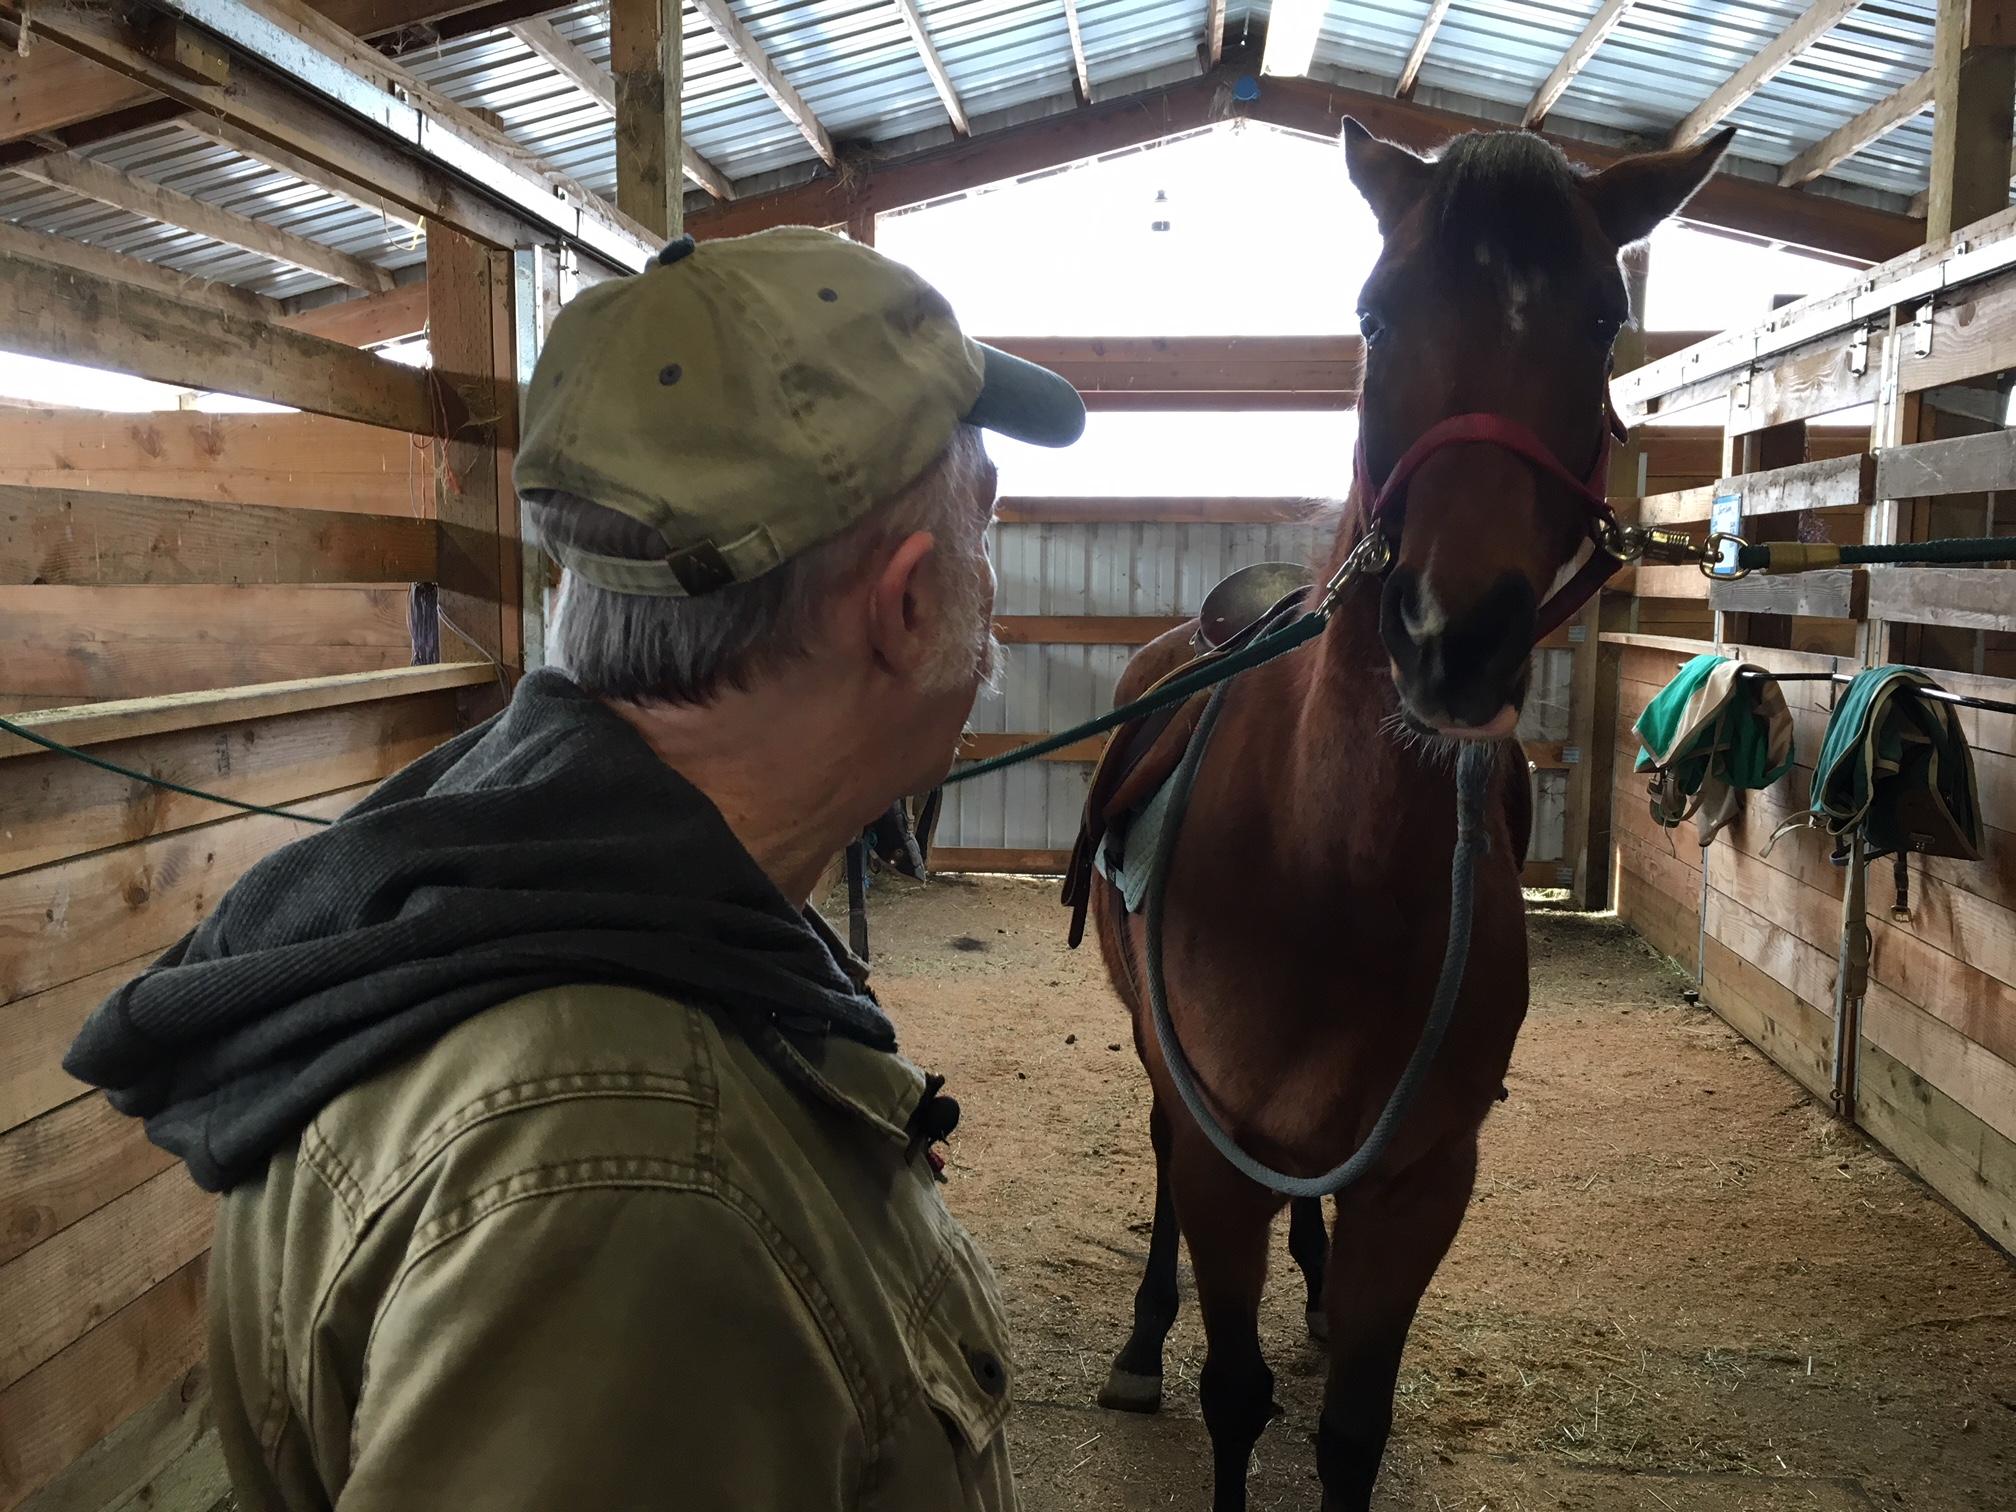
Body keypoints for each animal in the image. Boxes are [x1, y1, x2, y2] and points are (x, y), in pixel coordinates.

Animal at [1084, 120, 1735, 1511]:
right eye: (1376, 315)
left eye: (1603, 321)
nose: (1454, 637)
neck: (1324, 875)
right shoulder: (1221, 1157)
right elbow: (1235, 1394)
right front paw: (1190, 1360)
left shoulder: (1426, 1179)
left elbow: (1352, 1431)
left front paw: (1336, 1329)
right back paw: (1142, 1340)